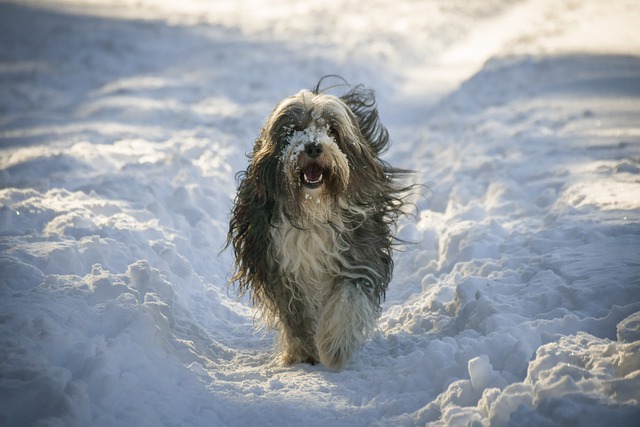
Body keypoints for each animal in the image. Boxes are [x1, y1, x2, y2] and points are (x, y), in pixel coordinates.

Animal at [228, 77, 410, 372]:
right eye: (293, 129)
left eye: (332, 130)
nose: (313, 146)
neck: (312, 210)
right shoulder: (276, 263)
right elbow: (294, 314)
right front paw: (303, 352)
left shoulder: (359, 251)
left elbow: (349, 296)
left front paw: (335, 348)